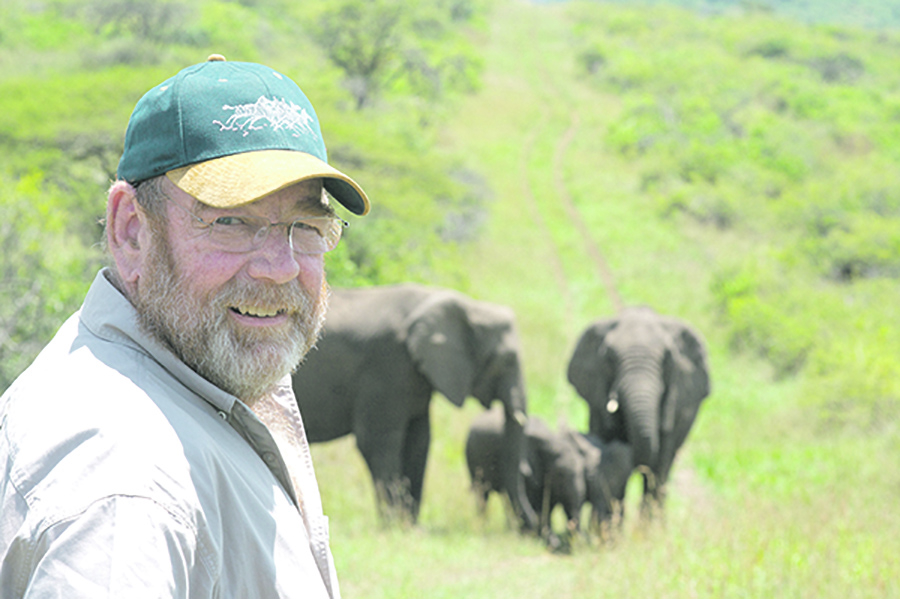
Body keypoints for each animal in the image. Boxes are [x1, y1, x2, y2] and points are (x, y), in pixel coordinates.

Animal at [292, 282, 536, 528]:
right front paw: (393, 526)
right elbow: (377, 442)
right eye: (506, 360)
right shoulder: (387, 363)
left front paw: (410, 526)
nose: (536, 529)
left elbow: (419, 441)